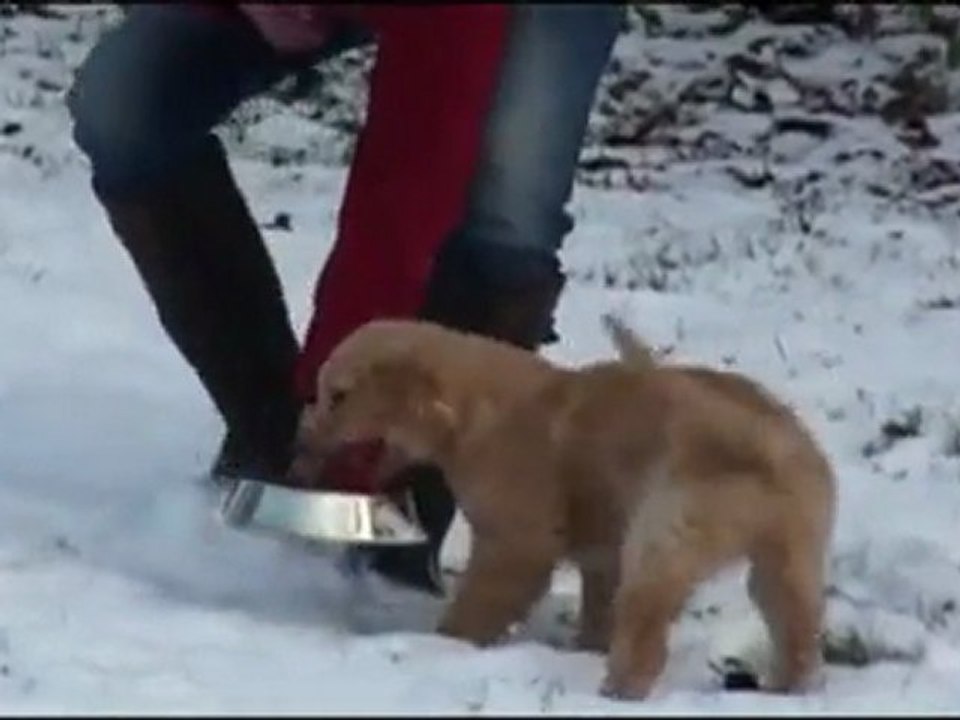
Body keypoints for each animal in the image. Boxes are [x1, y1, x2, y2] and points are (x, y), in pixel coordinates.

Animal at [296, 316, 836, 696]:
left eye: (337, 396)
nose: (301, 441)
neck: (473, 409)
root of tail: (761, 446)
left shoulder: (519, 534)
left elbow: (490, 591)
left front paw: (447, 641)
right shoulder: (604, 543)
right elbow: (598, 597)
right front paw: (585, 646)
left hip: (669, 527)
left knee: (648, 616)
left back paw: (618, 688)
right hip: (791, 544)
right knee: (794, 616)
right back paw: (787, 686)